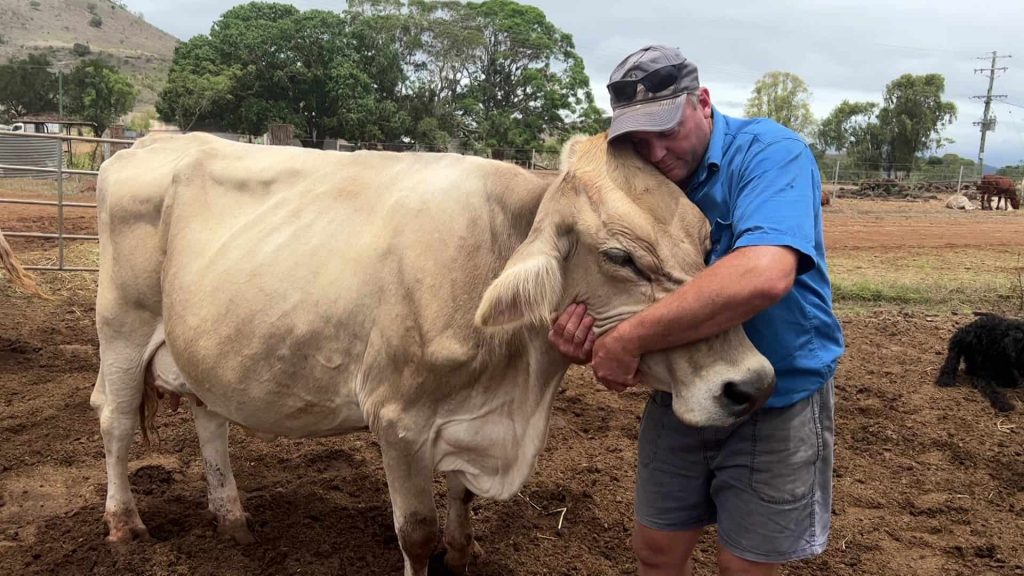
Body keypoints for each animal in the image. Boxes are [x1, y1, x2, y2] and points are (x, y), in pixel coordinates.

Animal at [92, 131, 770, 573]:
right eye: (622, 258)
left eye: (707, 242)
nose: (750, 384)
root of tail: (151, 143)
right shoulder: (398, 419)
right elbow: (414, 535)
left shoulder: (467, 418)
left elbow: (463, 500)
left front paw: (463, 551)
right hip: (121, 328)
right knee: (115, 421)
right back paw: (125, 526)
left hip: (204, 345)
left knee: (210, 419)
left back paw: (231, 518)